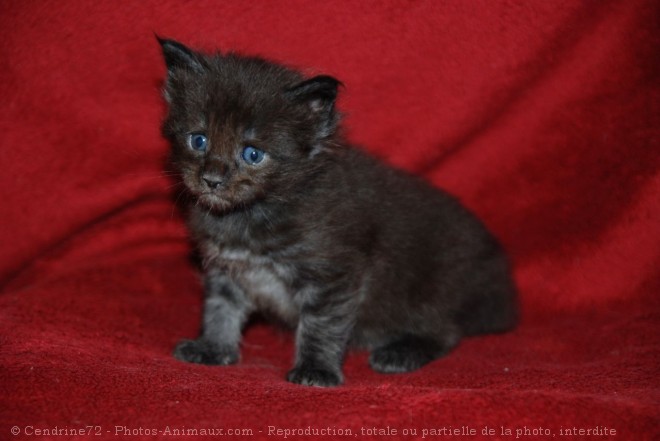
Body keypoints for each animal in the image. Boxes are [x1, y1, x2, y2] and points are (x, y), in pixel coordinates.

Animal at [157, 39, 520, 386]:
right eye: (199, 140)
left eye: (252, 154)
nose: (212, 179)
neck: (250, 214)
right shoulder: (227, 269)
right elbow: (220, 308)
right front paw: (213, 347)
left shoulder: (332, 274)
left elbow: (321, 325)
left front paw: (316, 369)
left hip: (429, 286)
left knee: (446, 330)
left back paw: (401, 352)